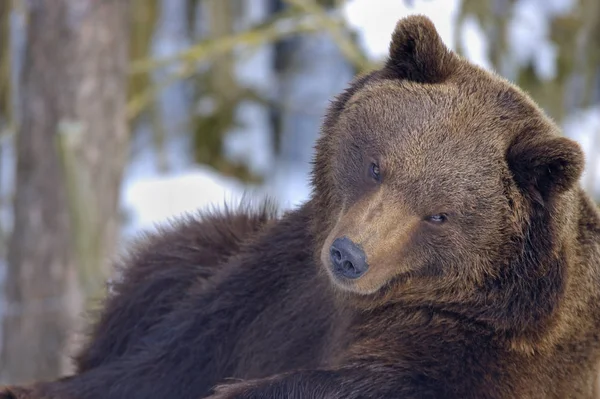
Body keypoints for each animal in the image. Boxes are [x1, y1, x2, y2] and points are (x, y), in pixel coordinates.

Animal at [1, 14, 600, 398]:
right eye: (377, 165)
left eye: (440, 214)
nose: (349, 255)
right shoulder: (277, 285)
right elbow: (161, 358)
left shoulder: (466, 359)